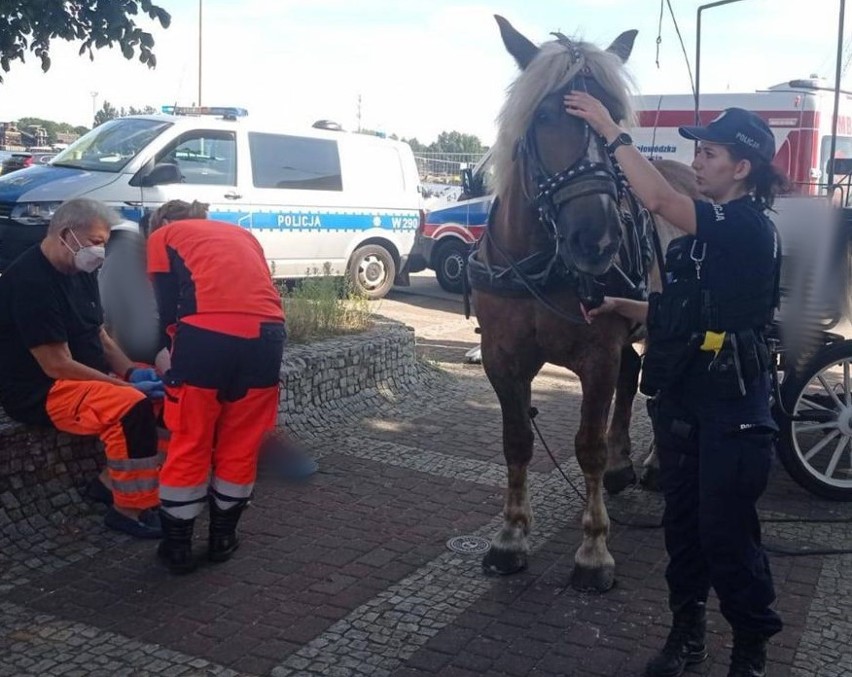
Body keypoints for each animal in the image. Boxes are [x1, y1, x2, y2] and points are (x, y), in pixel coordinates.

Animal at [472, 15, 700, 592]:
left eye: (616, 121)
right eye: (546, 114)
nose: (597, 240)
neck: (540, 262)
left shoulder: (596, 355)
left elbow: (588, 448)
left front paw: (594, 549)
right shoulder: (502, 359)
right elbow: (516, 442)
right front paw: (510, 536)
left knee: (665, 391)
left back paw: (655, 464)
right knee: (635, 374)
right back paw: (625, 465)